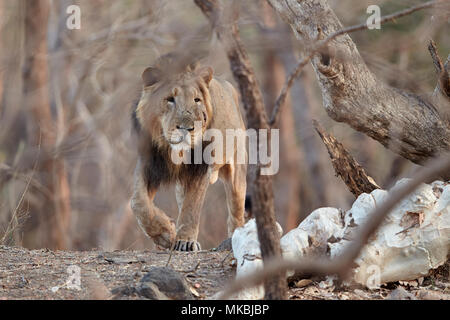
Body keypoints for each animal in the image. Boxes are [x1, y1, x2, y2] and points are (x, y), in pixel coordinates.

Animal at [130, 55, 248, 251]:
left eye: (197, 100)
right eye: (170, 99)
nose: (187, 128)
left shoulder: (200, 169)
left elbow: (192, 207)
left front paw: (185, 241)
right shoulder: (148, 164)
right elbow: (139, 203)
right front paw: (165, 234)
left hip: (237, 170)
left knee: (236, 209)